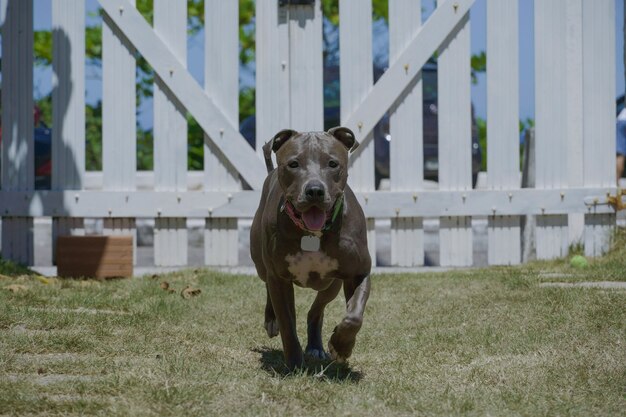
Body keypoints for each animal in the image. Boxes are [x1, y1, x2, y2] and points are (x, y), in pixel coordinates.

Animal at [249, 126, 370, 368]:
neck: (313, 232)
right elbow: (287, 323)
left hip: (330, 285)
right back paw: (271, 319)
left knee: (316, 310)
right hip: (261, 265)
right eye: (293, 163)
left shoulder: (359, 273)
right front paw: (294, 363)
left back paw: (316, 346)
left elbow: (354, 317)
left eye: (332, 163)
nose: (314, 190)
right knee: (268, 286)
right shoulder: (279, 278)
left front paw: (341, 346)